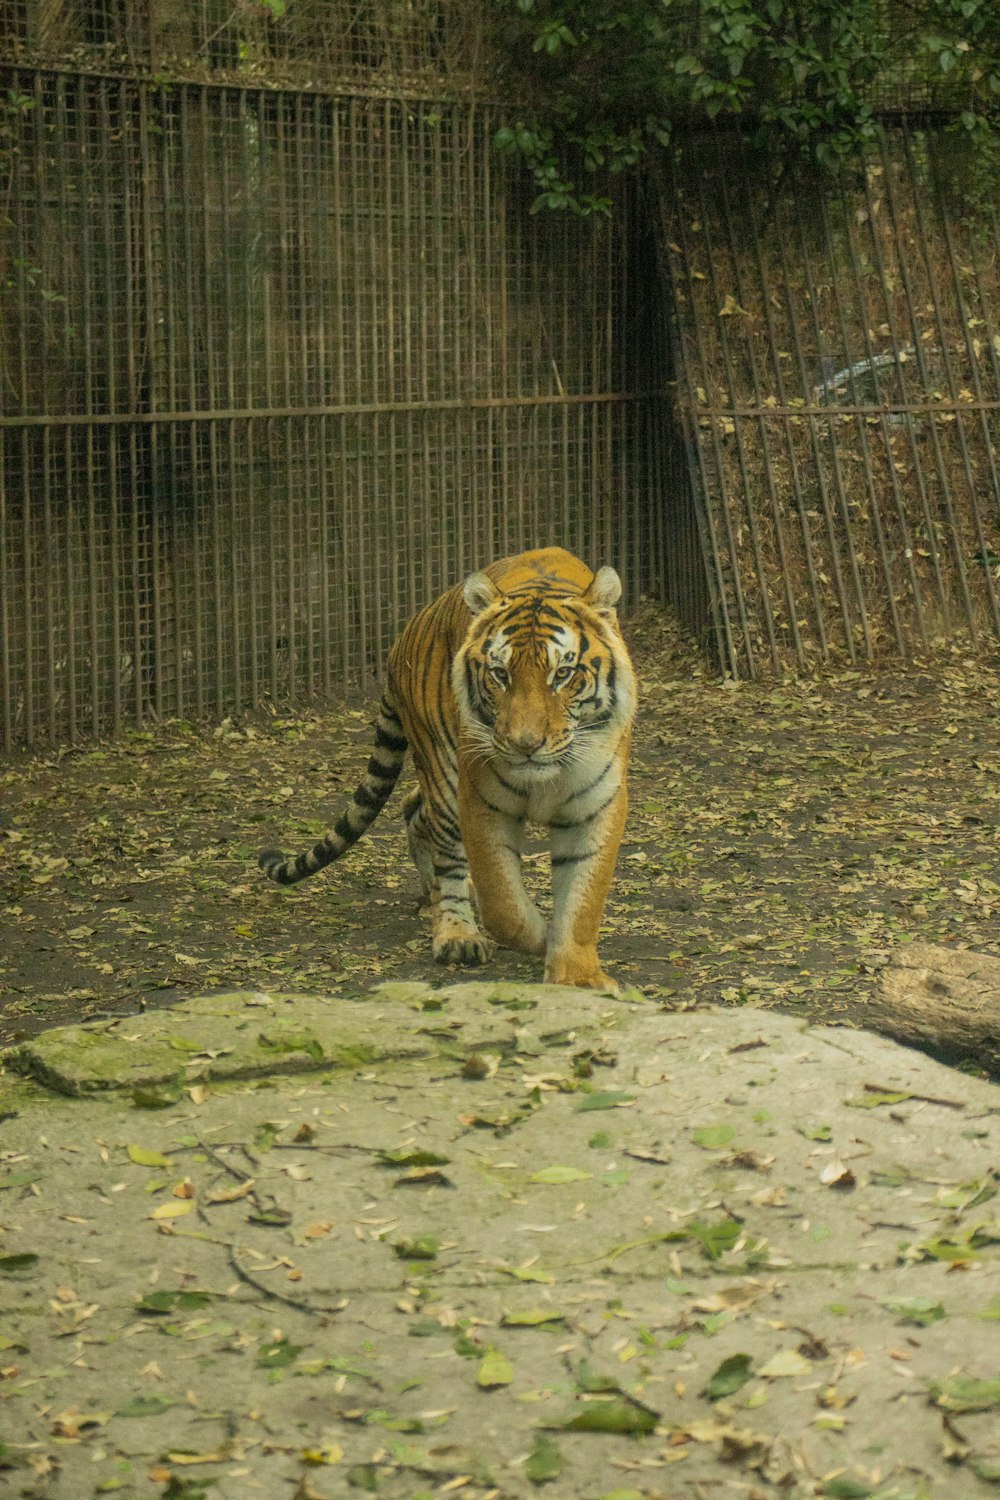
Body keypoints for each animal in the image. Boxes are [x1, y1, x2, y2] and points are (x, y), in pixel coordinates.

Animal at [257, 546, 632, 990]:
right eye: (500, 674)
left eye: (562, 674)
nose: (525, 745)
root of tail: (401, 640)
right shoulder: (481, 801)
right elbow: (503, 901)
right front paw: (540, 937)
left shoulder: (594, 806)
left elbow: (583, 900)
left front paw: (578, 977)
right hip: (444, 770)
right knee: (447, 851)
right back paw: (457, 934)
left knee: (414, 811)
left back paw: (430, 889)